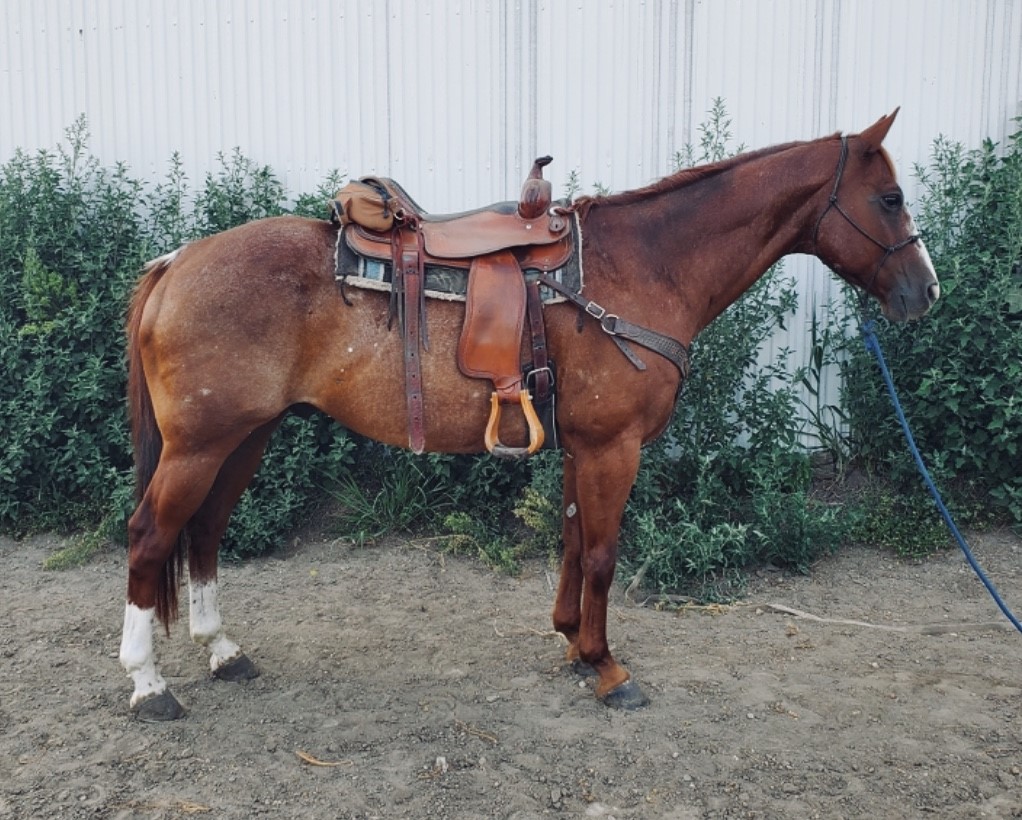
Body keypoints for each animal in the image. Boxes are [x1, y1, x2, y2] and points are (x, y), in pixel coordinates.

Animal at [119, 110, 939, 719]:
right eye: (890, 199)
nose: (925, 292)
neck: (645, 265)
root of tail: (176, 261)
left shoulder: (583, 446)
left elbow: (574, 542)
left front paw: (572, 642)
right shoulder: (613, 446)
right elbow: (603, 554)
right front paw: (607, 667)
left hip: (245, 438)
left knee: (204, 532)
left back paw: (224, 651)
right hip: (201, 445)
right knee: (150, 535)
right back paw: (147, 683)